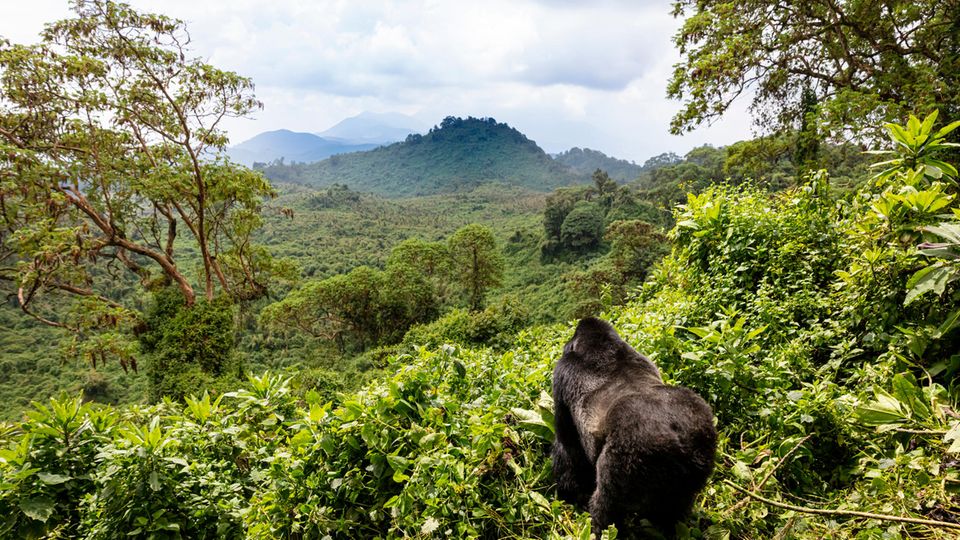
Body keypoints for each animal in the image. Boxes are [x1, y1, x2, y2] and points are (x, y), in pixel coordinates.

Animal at [552, 316, 716, 532]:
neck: (601, 346)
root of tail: (679, 440)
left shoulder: (561, 373)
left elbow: (567, 445)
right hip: (702, 443)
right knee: (673, 508)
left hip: (629, 454)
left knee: (607, 508)